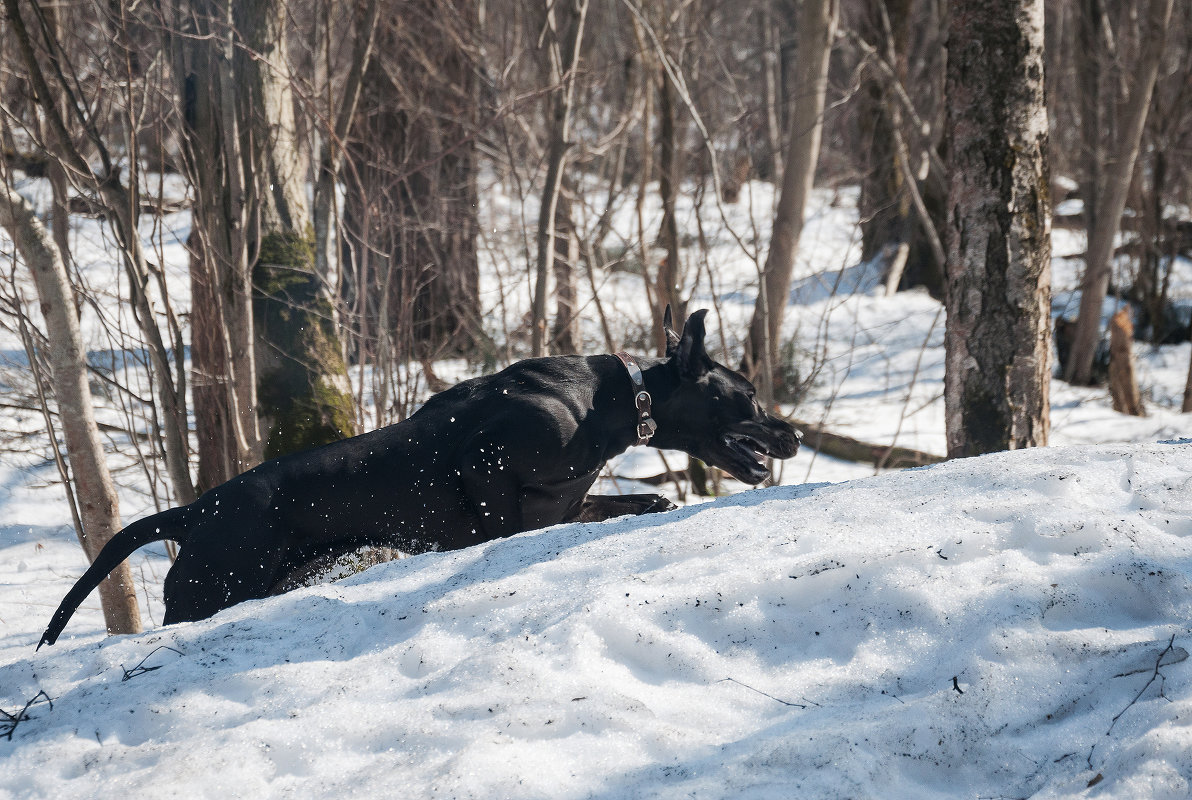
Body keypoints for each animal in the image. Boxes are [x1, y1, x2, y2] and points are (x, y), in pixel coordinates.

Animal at [39, 309, 801, 648]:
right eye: (749, 396)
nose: (792, 435)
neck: (610, 402)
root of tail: (197, 510)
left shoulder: (562, 508)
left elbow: (648, 499)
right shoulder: (485, 466)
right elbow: (492, 521)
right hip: (208, 591)